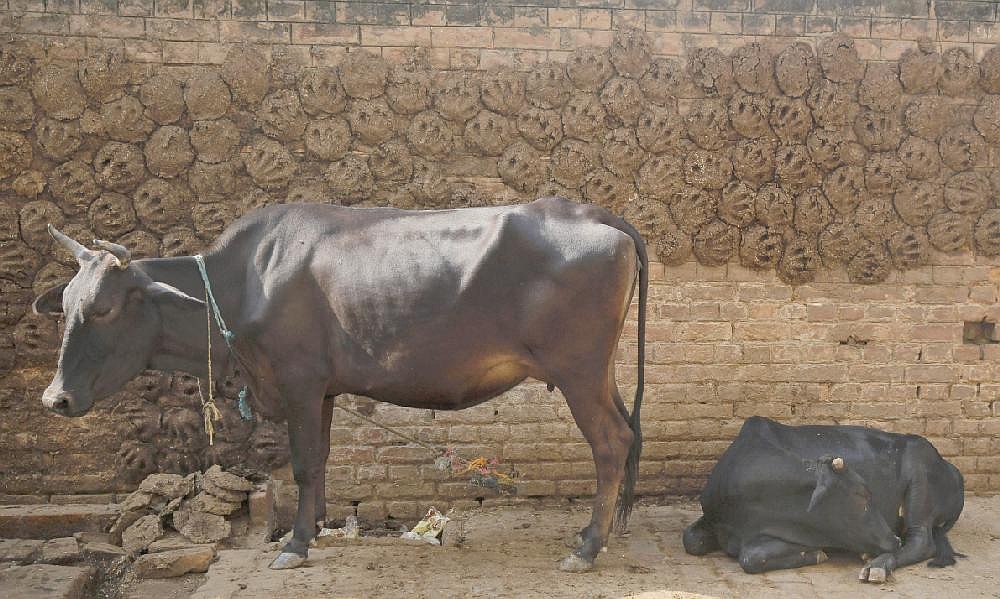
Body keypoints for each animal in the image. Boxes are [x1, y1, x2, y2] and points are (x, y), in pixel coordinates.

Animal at [32, 197, 647, 572]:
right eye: (65, 305)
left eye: (105, 308)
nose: (54, 397)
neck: (240, 284)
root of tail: (591, 212)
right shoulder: (322, 389)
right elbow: (322, 458)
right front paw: (318, 527)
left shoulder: (299, 380)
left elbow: (304, 463)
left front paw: (296, 543)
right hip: (601, 372)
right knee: (628, 434)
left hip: (578, 371)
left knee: (611, 442)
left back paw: (588, 546)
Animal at [683, 416, 964, 583]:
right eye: (862, 496)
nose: (892, 539)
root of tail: (950, 467)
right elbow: (691, 540)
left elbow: (750, 556)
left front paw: (815, 552)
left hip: (919, 483)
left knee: (922, 542)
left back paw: (877, 566)